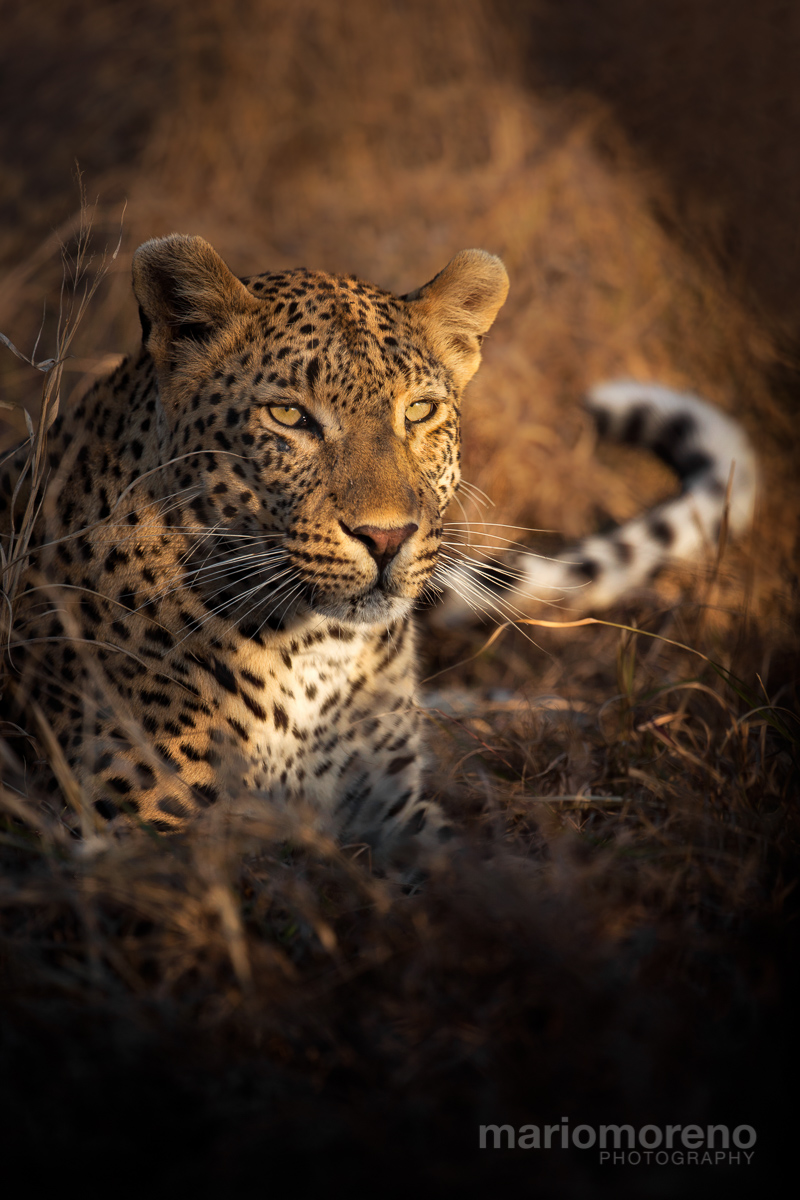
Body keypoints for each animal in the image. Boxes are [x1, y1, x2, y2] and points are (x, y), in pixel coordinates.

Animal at [0, 235, 509, 872]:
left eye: (419, 411)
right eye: (289, 416)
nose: (387, 537)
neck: (319, 654)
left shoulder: (392, 808)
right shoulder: (135, 831)